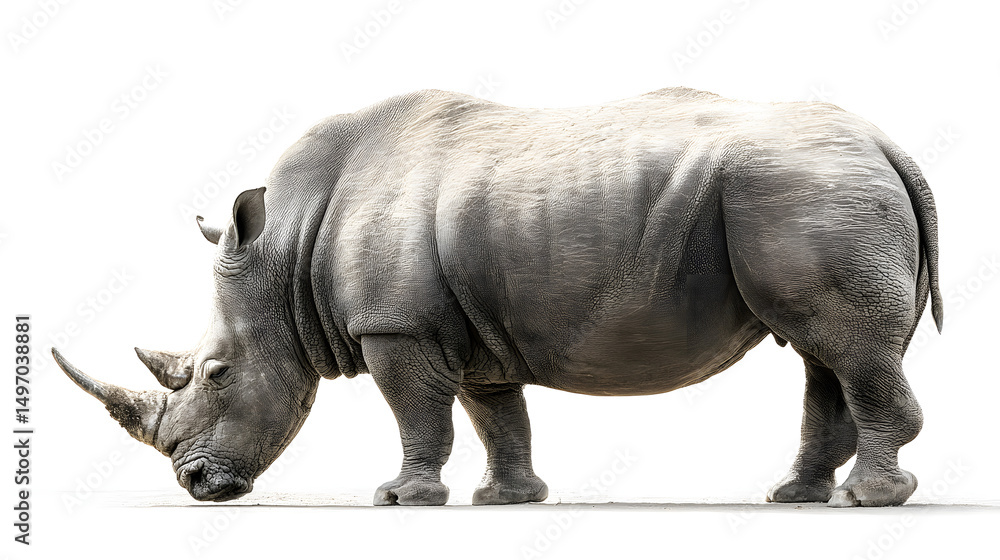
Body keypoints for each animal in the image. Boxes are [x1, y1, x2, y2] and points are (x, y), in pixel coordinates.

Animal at [54, 87, 942, 507]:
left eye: (216, 375)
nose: (197, 486)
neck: (286, 253)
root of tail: (887, 144)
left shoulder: (396, 327)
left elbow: (418, 412)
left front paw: (398, 499)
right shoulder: (471, 328)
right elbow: (495, 414)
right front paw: (504, 499)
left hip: (809, 194)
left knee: (848, 348)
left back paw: (865, 500)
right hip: (816, 197)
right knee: (826, 353)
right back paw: (795, 497)